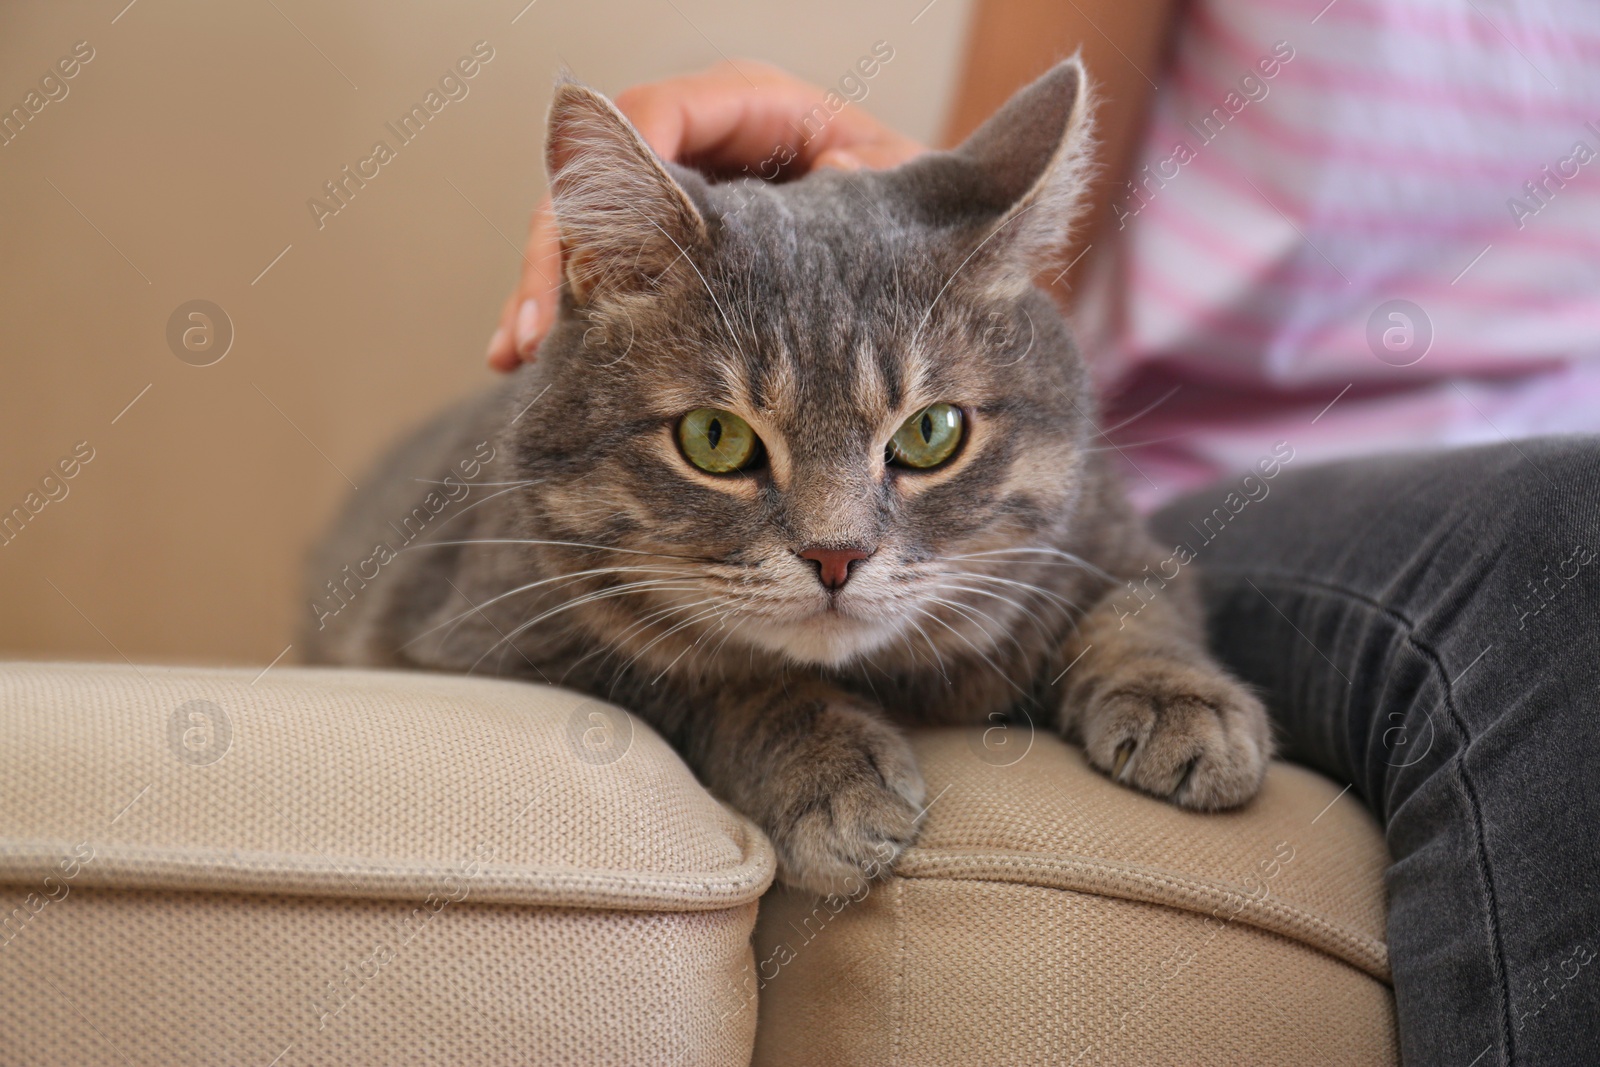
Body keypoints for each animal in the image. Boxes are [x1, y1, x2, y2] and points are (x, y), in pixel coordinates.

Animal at [305, 58, 1267, 895]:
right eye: (715, 438)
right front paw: (829, 770)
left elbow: (1137, 607)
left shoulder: (1102, 537)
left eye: (932, 432)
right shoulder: (489, 640)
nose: (836, 556)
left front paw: (1188, 705)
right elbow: (725, 679)